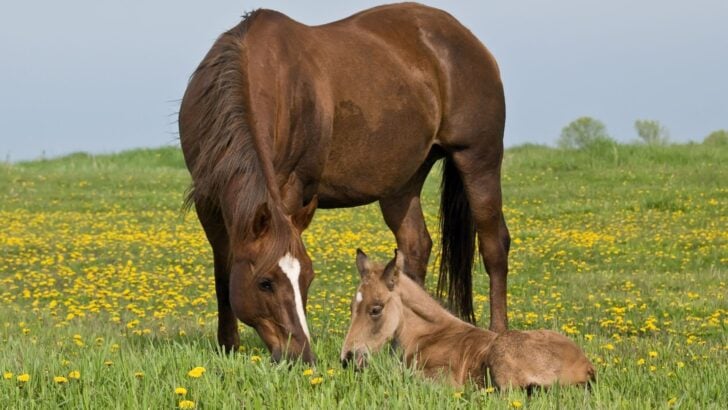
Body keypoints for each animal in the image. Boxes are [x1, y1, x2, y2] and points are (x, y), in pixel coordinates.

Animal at [179, 3, 510, 364]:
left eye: (308, 278)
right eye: (265, 282)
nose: (301, 356)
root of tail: (468, 40)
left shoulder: (291, 189)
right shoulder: (210, 202)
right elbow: (223, 271)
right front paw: (227, 346)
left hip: (478, 159)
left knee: (494, 246)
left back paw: (500, 334)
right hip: (402, 181)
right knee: (415, 246)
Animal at [341, 250, 595, 390]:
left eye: (375, 309)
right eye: (352, 307)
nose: (347, 358)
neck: (427, 335)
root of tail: (586, 366)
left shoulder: (444, 377)